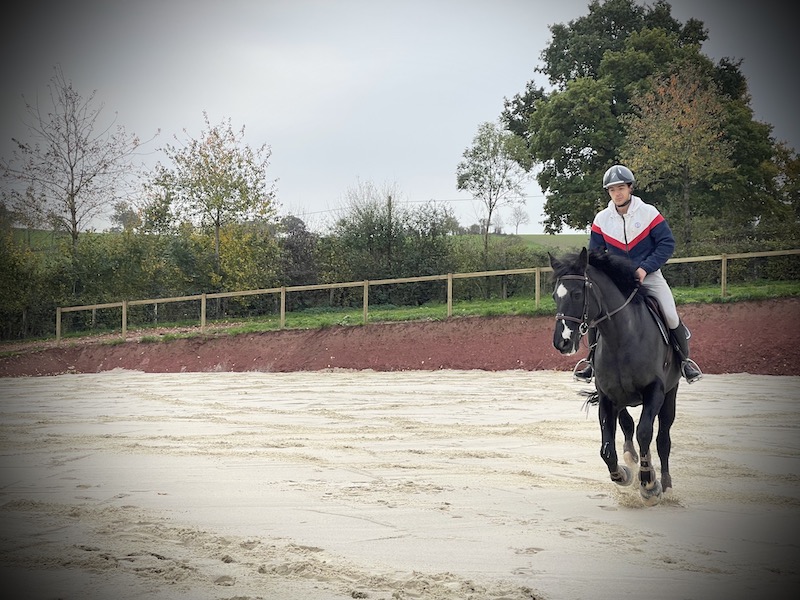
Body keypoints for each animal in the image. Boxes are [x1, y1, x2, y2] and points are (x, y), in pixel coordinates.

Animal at [552, 248, 680, 506]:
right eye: (554, 297)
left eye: (577, 294)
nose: (561, 342)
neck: (621, 339)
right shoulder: (607, 398)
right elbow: (607, 449)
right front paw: (623, 474)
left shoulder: (655, 392)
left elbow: (645, 433)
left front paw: (649, 485)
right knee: (628, 426)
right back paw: (632, 458)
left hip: (670, 396)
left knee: (662, 440)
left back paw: (666, 484)